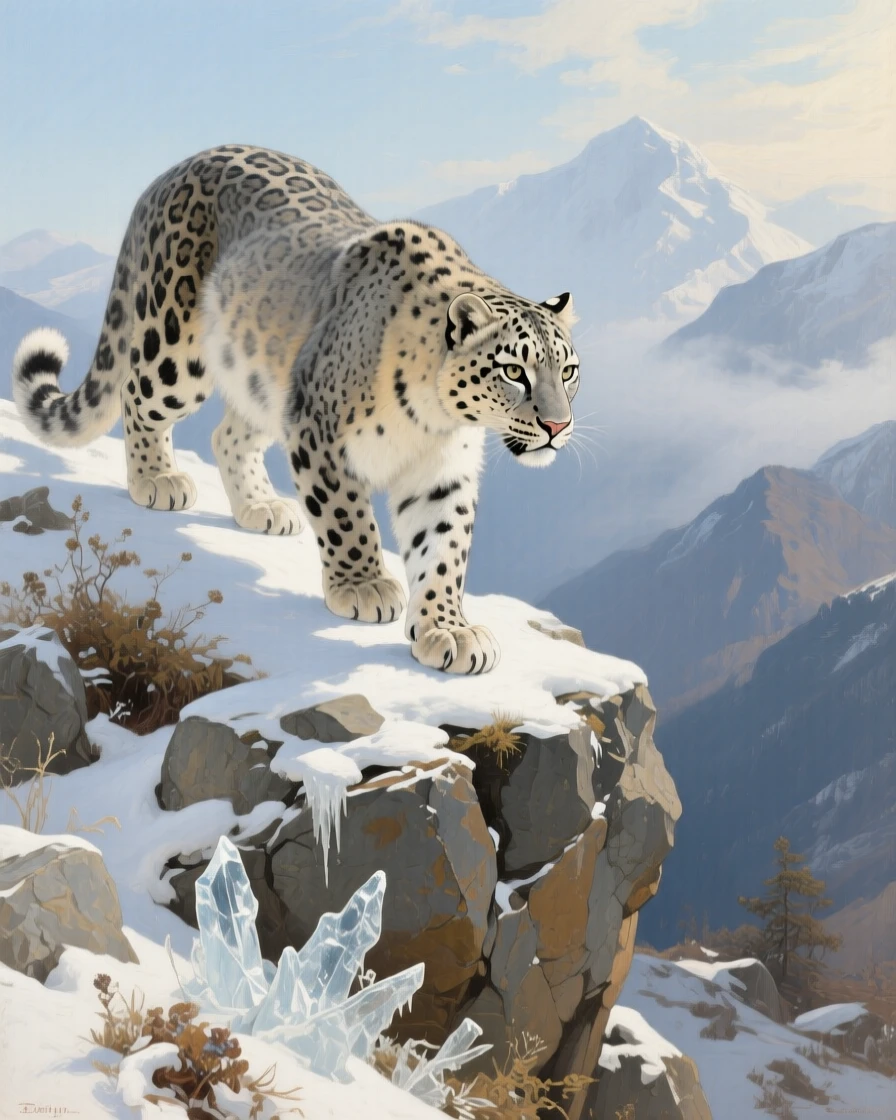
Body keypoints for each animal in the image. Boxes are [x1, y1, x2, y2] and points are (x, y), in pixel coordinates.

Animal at [12, 145, 580, 674]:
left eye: (569, 370)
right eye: (515, 370)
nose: (557, 425)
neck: (434, 417)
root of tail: (174, 169)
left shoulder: (443, 470)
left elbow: (444, 548)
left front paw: (448, 631)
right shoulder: (320, 431)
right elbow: (347, 518)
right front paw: (366, 586)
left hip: (263, 382)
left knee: (226, 436)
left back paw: (263, 507)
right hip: (175, 350)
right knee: (138, 395)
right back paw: (157, 479)